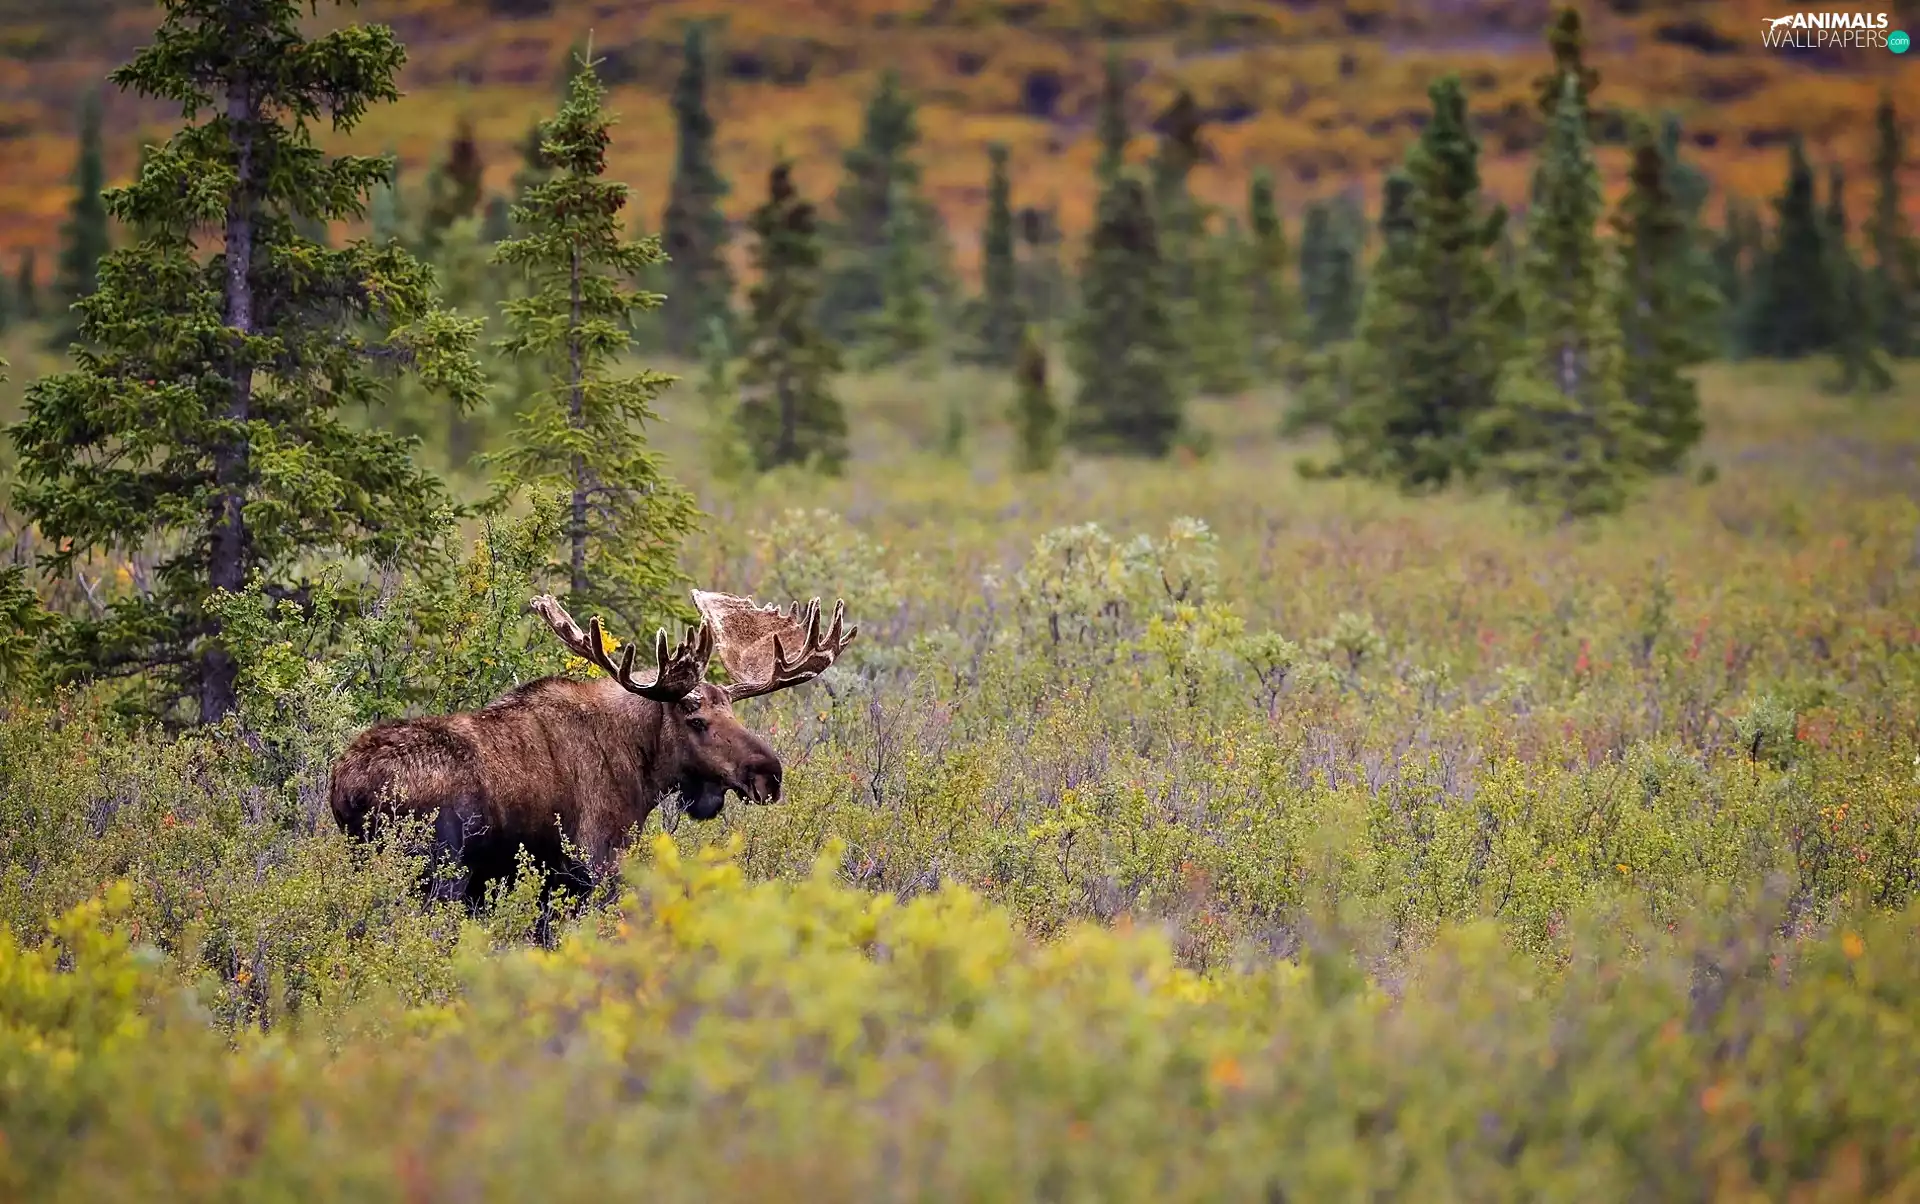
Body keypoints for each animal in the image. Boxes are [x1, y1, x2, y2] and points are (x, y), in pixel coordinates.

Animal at [328, 588, 856, 908]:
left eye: (734, 713)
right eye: (697, 720)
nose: (769, 774)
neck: (642, 769)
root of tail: (344, 789)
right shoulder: (596, 862)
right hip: (438, 872)